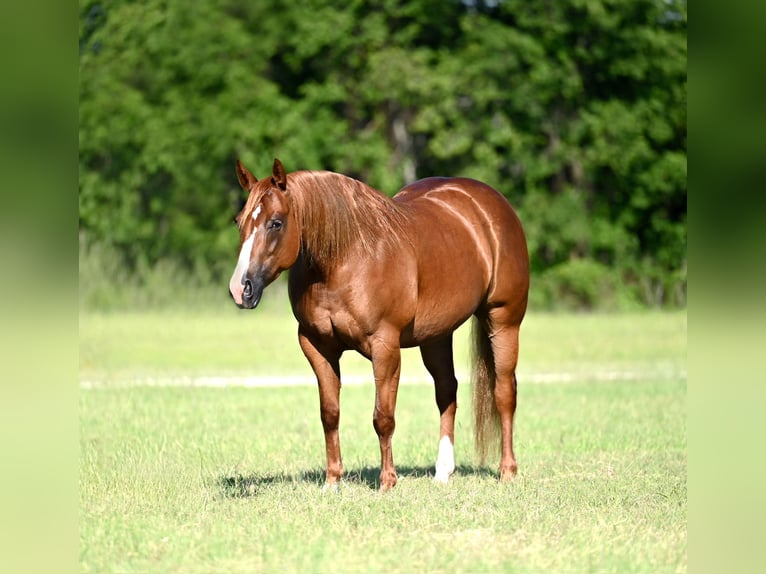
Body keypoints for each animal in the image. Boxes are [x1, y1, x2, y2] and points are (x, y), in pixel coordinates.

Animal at [229, 158, 529, 491]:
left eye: (276, 223)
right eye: (239, 221)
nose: (240, 289)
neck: (345, 258)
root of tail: (490, 203)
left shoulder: (384, 346)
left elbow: (383, 416)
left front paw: (387, 481)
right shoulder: (317, 347)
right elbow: (330, 414)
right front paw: (332, 481)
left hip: (503, 320)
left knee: (504, 392)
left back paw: (508, 470)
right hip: (436, 335)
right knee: (446, 391)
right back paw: (443, 472)